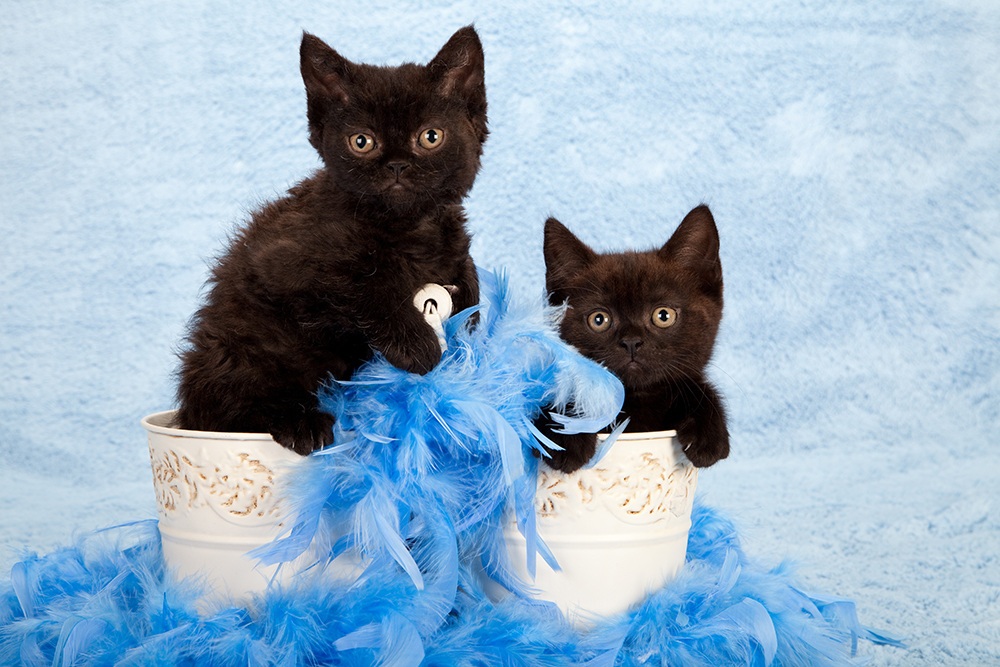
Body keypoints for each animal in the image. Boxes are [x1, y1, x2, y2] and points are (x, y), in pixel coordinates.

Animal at [176, 26, 488, 454]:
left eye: (430, 137)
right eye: (362, 142)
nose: (397, 165)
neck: (407, 227)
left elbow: (465, 267)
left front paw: (471, 312)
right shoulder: (286, 261)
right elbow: (359, 282)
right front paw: (415, 344)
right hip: (247, 346)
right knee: (235, 405)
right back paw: (301, 422)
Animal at [540, 206, 728, 472]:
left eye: (663, 315)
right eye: (599, 319)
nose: (631, 341)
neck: (635, 401)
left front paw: (708, 433)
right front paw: (566, 435)